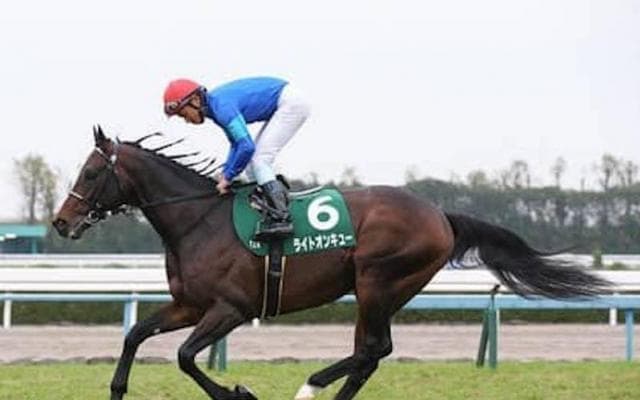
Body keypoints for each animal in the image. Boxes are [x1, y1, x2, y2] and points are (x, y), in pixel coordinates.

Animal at [52, 126, 610, 400]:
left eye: (92, 172)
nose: (60, 221)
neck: (198, 219)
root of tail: (440, 215)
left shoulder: (230, 309)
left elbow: (188, 357)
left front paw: (240, 392)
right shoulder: (189, 305)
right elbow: (133, 335)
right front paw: (117, 389)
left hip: (378, 281)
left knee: (373, 349)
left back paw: (312, 385)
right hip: (379, 289)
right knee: (370, 354)